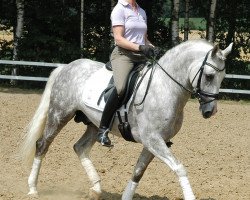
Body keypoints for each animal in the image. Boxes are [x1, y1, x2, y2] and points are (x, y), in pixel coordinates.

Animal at [19, 39, 232, 200]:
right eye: (209, 76)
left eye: (222, 77)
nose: (210, 111)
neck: (165, 88)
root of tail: (66, 67)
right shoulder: (153, 140)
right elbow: (179, 168)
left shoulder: (156, 142)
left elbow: (138, 171)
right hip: (59, 114)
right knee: (42, 145)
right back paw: (32, 189)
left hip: (93, 124)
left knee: (80, 147)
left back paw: (96, 189)